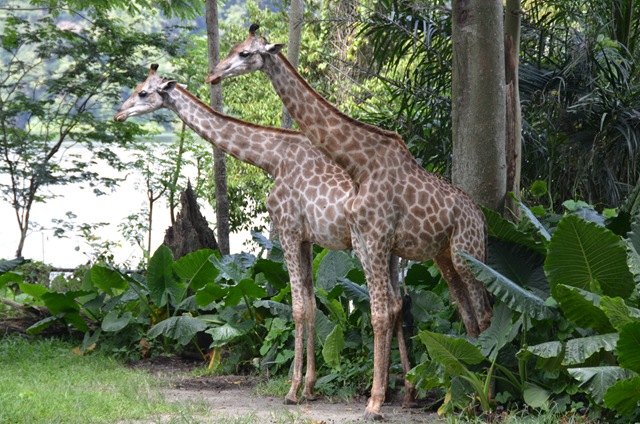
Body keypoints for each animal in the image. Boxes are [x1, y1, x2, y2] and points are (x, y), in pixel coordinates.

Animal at [115, 63, 359, 405]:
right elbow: (311, 306)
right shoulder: (308, 240)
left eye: (144, 92)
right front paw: (310, 387)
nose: (118, 114)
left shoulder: (288, 230)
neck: (273, 158)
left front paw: (292, 391)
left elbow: (298, 307)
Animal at [207, 24, 494, 420]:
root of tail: (481, 217)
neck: (360, 165)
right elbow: (374, 311)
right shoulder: (364, 243)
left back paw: (483, 396)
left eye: (246, 53)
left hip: (468, 255)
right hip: (444, 257)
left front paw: (373, 402)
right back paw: (462, 392)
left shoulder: (369, 241)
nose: (213, 74)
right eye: (234, 47)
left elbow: (378, 315)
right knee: (469, 316)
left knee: (485, 315)